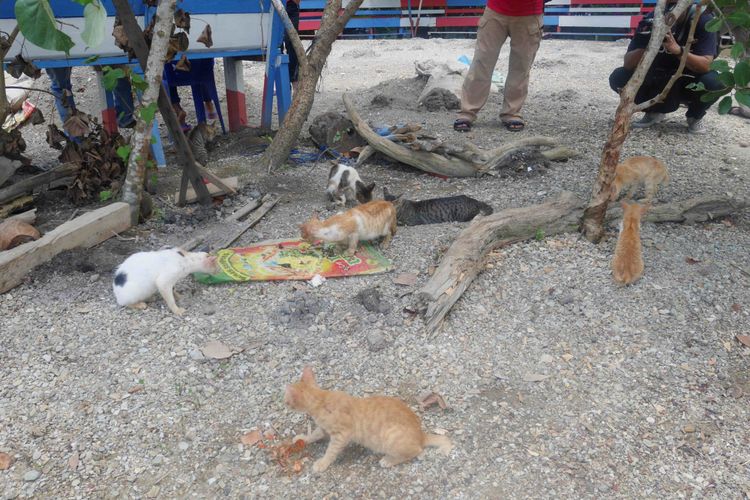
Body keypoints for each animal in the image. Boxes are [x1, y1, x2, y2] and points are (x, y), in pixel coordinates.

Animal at [286, 366, 452, 470]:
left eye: (285, 399)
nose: (283, 402)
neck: (322, 399)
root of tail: (421, 435)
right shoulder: (324, 428)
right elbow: (314, 434)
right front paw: (304, 438)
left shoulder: (341, 435)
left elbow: (331, 451)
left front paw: (322, 463)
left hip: (391, 437)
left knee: (416, 451)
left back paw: (389, 460)